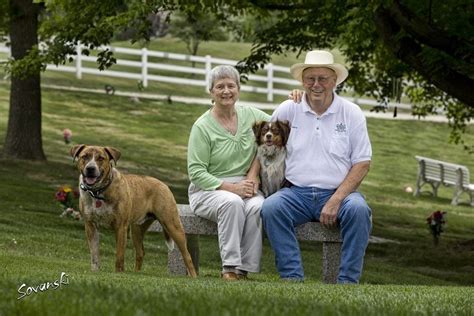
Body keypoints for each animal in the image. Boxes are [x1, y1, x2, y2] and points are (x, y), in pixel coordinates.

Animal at [69, 144, 197, 276]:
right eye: (85, 156)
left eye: (101, 158)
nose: (90, 168)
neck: (98, 192)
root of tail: (163, 184)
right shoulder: (90, 226)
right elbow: (94, 254)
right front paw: (95, 272)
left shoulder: (121, 227)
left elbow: (119, 255)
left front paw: (119, 273)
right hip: (137, 229)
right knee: (140, 252)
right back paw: (136, 273)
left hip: (172, 225)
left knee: (187, 256)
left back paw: (193, 277)